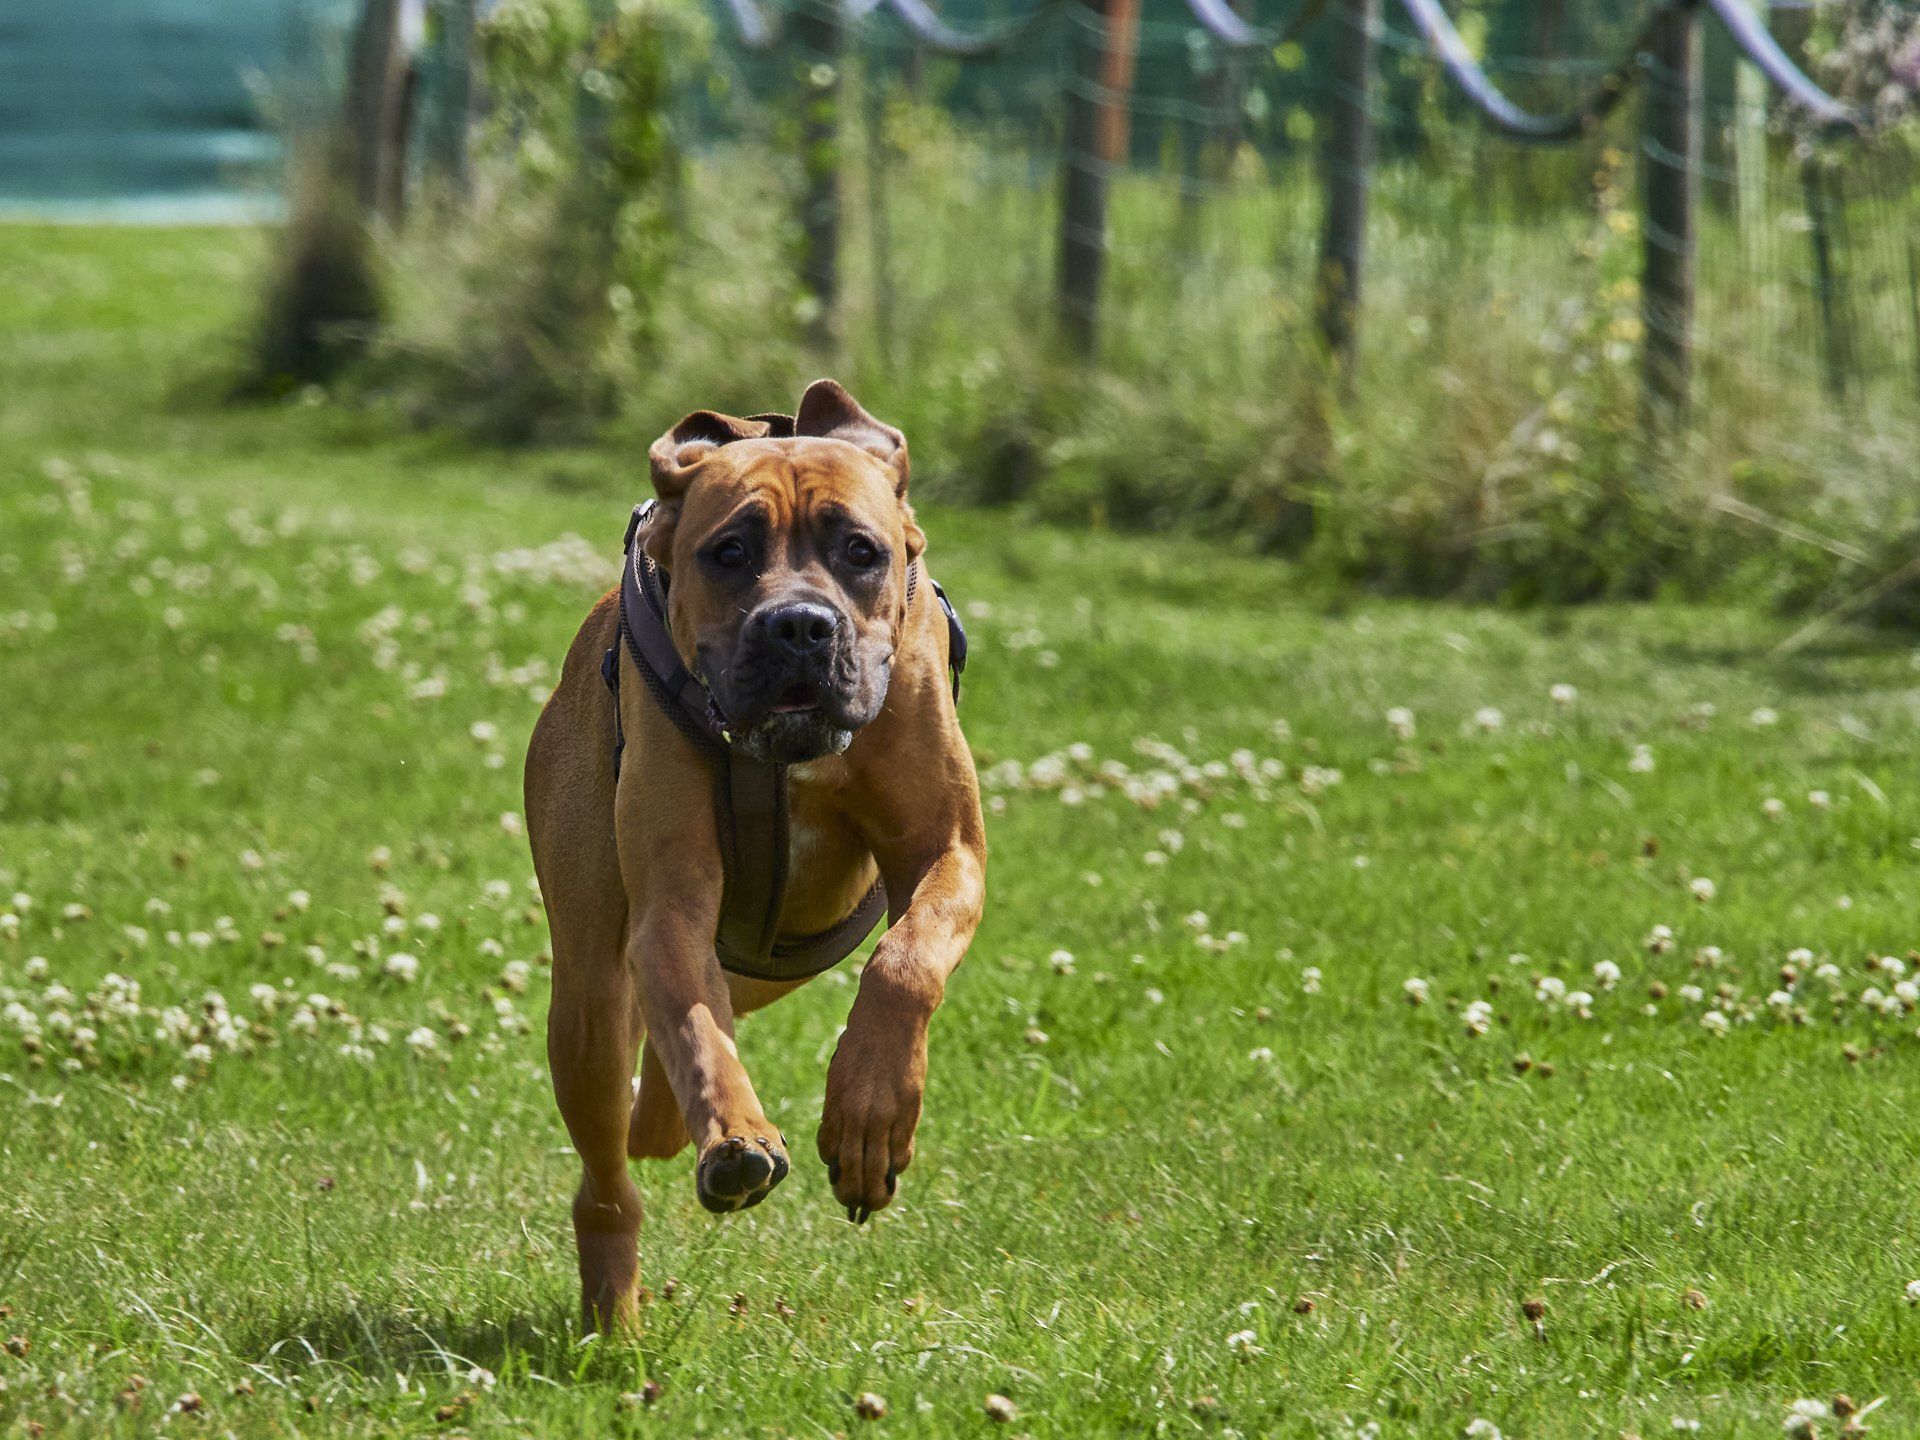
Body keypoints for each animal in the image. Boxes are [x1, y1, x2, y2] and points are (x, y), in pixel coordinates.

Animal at [524, 380, 986, 1330]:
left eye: (860, 551)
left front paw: (870, 1115)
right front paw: (737, 1135)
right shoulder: (671, 907)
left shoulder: (950, 852)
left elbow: (905, 963)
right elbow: (699, 1031)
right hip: (588, 1002)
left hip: (777, 961)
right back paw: (615, 1305)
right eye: (729, 553)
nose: (799, 626)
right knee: (610, 1168)